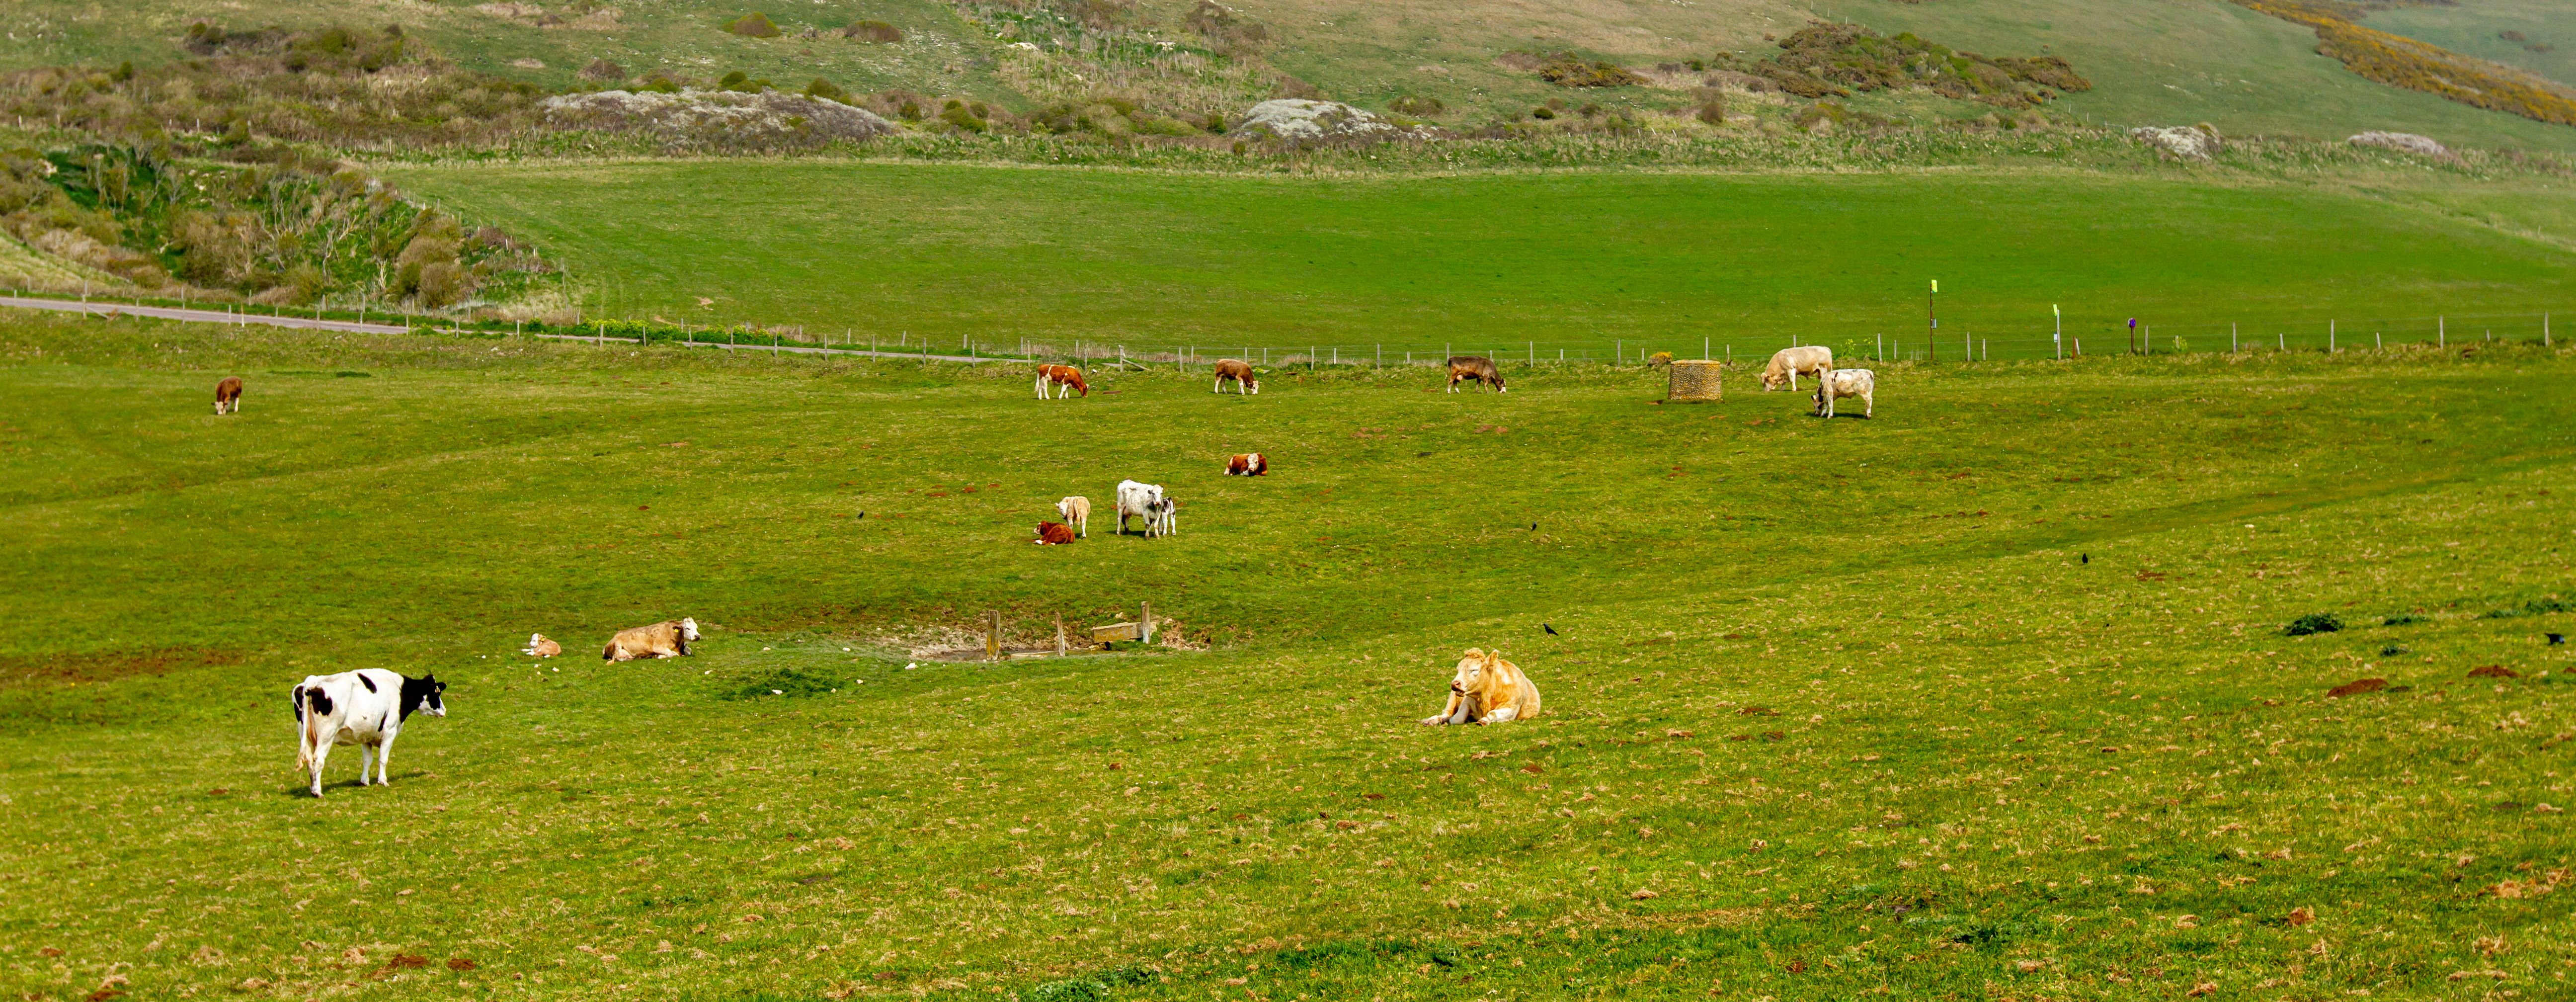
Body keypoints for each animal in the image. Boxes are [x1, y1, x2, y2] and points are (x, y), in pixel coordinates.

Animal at [290, 669, 447, 797]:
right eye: (437, 692)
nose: (444, 710)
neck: (399, 690)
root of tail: (313, 681)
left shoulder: (365, 735)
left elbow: (367, 759)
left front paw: (364, 781)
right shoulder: (390, 731)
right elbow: (383, 759)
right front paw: (383, 781)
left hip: (306, 735)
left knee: (309, 760)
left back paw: (312, 789)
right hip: (326, 735)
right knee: (318, 760)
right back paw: (318, 792)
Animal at [604, 618, 700, 661]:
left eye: (696, 627)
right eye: (687, 628)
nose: (697, 636)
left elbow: (689, 651)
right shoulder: (658, 647)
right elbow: (670, 654)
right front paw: (658, 656)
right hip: (617, 645)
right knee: (619, 658)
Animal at [1419, 648, 1541, 726]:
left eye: (1474, 670)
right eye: (1458, 670)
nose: (1455, 684)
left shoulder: (1512, 709)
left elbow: (1493, 713)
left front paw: (1483, 721)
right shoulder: (1467, 700)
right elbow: (1457, 718)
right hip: (1452, 698)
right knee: (1446, 714)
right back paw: (1431, 721)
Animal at [1761, 346, 1832, 391]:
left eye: (1766, 381)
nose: (1765, 391)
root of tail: (1825, 348)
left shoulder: (1791, 370)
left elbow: (1792, 380)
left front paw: (1794, 389)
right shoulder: (1785, 374)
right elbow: (1785, 382)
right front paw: (1782, 389)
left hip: (1823, 368)